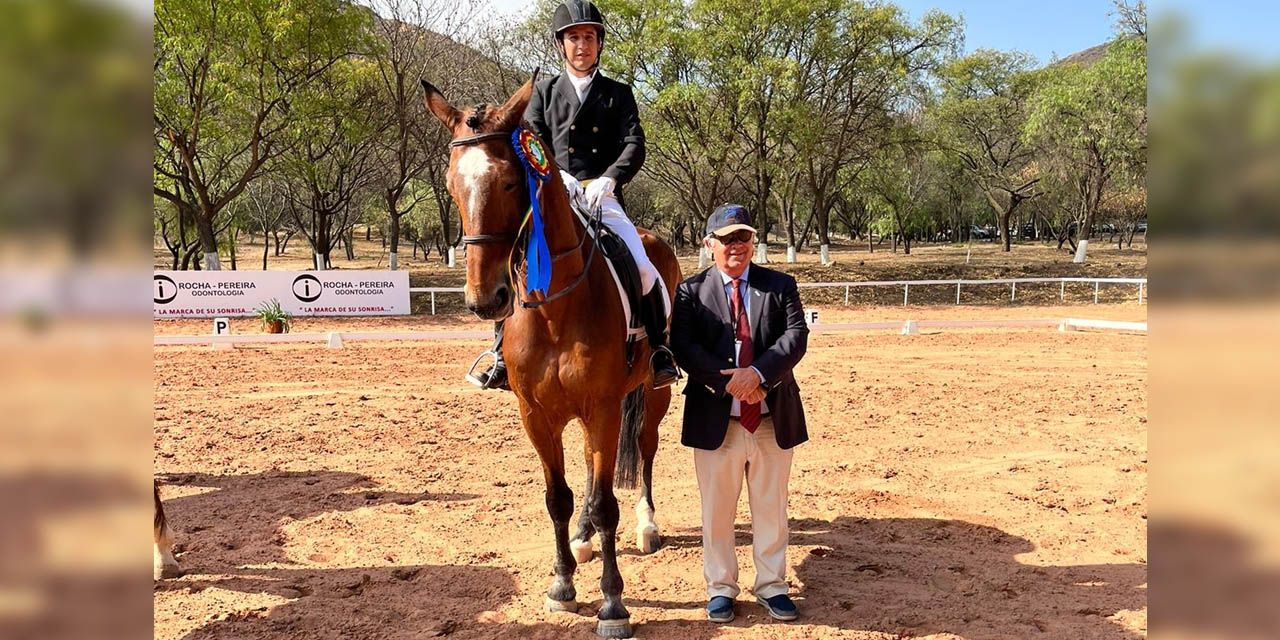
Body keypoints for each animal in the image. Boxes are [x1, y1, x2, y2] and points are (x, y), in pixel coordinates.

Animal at [419, 72, 680, 637]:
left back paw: (647, 524)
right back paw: (582, 541)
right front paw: (562, 585)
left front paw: (612, 603)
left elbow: (607, 506)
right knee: (588, 468)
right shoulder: (537, 414)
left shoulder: (603, 407)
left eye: (510, 182)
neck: (557, 307)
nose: (484, 299)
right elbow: (557, 498)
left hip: (651, 394)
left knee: (645, 450)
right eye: (452, 186)